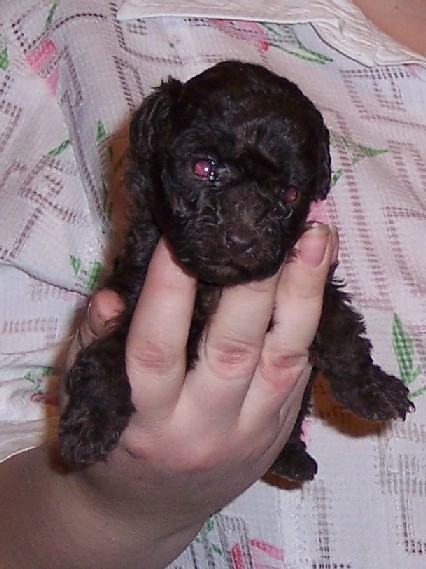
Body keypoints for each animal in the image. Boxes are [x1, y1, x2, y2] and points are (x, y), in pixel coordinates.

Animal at [59, 61, 413, 481]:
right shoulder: (132, 290)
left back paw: (291, 455)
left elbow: (342, 331)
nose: (242, 238)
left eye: (289, 194)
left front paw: (372, 386)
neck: (217, 284)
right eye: (202, 167)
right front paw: (92, 419)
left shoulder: (315, 280)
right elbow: (111, 351)